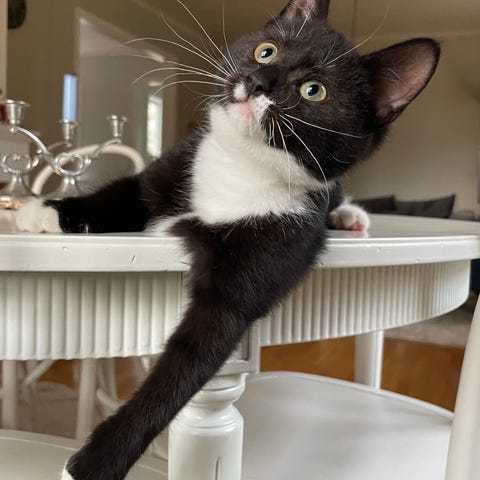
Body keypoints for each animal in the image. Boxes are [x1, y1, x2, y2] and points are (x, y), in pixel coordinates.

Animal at [17, 0, 440, 478]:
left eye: (313, 90)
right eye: (265, 50)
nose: (258, 81)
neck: (240, 166)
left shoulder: (263, 258)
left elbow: (182, 369)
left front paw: (97, 459)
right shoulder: (174, 167)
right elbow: (121, 193)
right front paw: (50, 209)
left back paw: (350, 215)